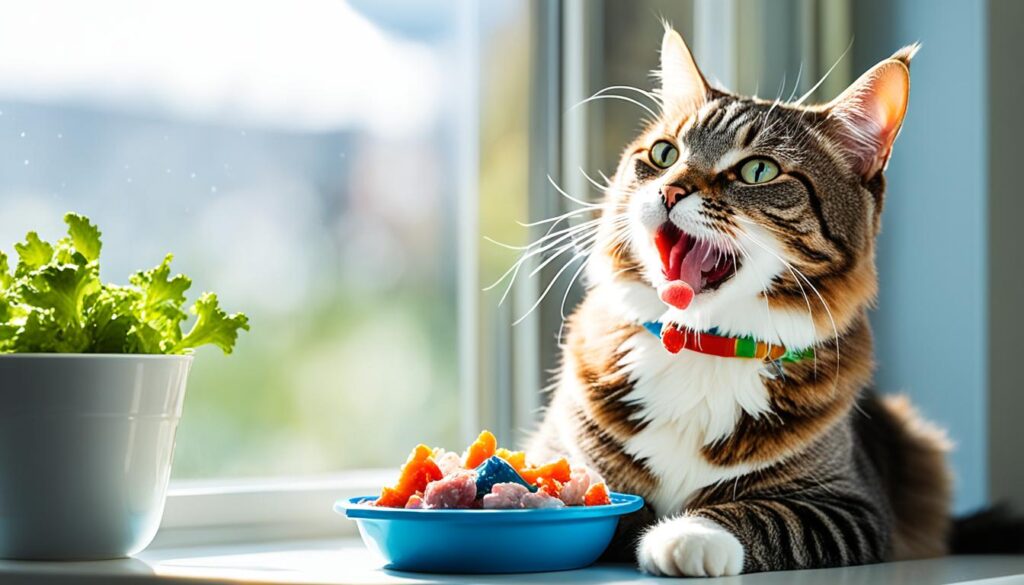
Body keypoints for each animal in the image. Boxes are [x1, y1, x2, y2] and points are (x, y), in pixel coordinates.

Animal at [528, 26, 950, 577]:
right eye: (664, 154)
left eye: (757, 170)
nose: (669, 191)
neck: (697, 345)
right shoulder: (560, 449)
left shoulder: (850, 504)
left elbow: (767, 515)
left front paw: (687, 535)